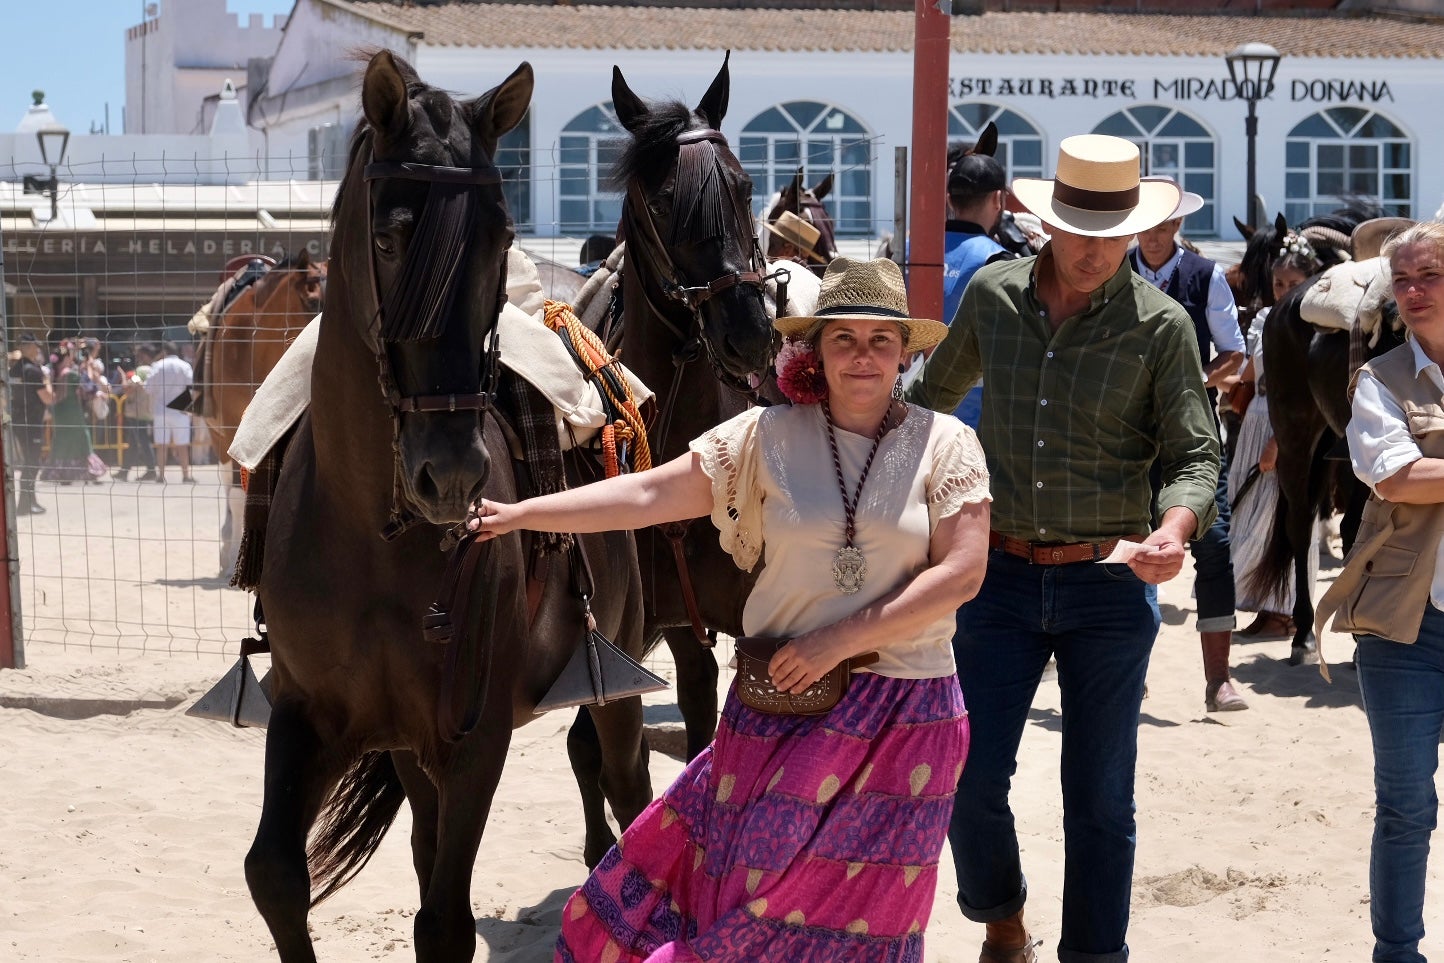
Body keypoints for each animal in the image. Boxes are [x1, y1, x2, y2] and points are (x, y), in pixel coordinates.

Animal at [248, 52, 649, 963]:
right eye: (389, 236)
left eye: (499, 237)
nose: (453, 476)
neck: (369, 534)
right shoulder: (308, 715)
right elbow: (275, 873)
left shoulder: (473, 737)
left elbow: (444, 922)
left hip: (618, 675)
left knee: (628, 786)